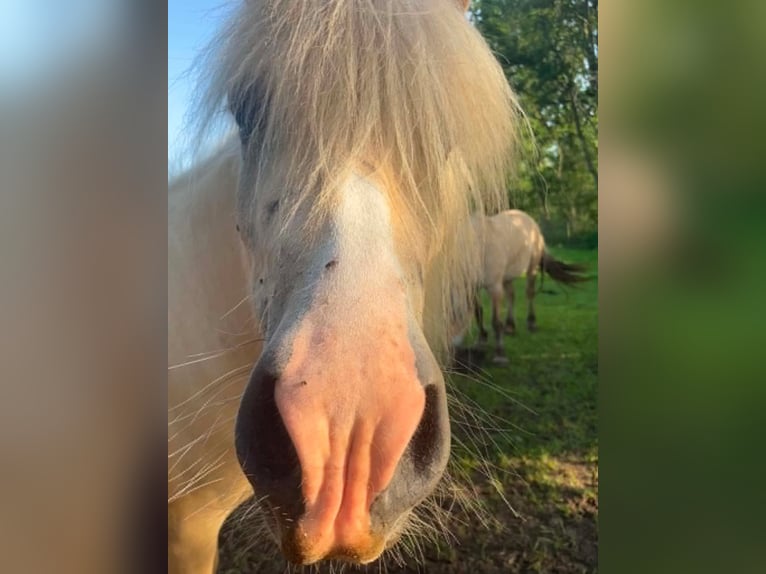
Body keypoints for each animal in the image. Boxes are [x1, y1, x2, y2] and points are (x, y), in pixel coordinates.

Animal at [453, 209, 588, 363]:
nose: (452, 347)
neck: (478, 248)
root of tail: (531, 221)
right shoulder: (473, 287)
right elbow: (478, 312)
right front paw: (481, 339)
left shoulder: (494, 288)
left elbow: (496, 321)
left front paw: (500, 355)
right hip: (507, 277)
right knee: (511, 296)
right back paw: (510, 327)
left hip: (532, 269)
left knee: (529, 293)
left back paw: (531, 323)